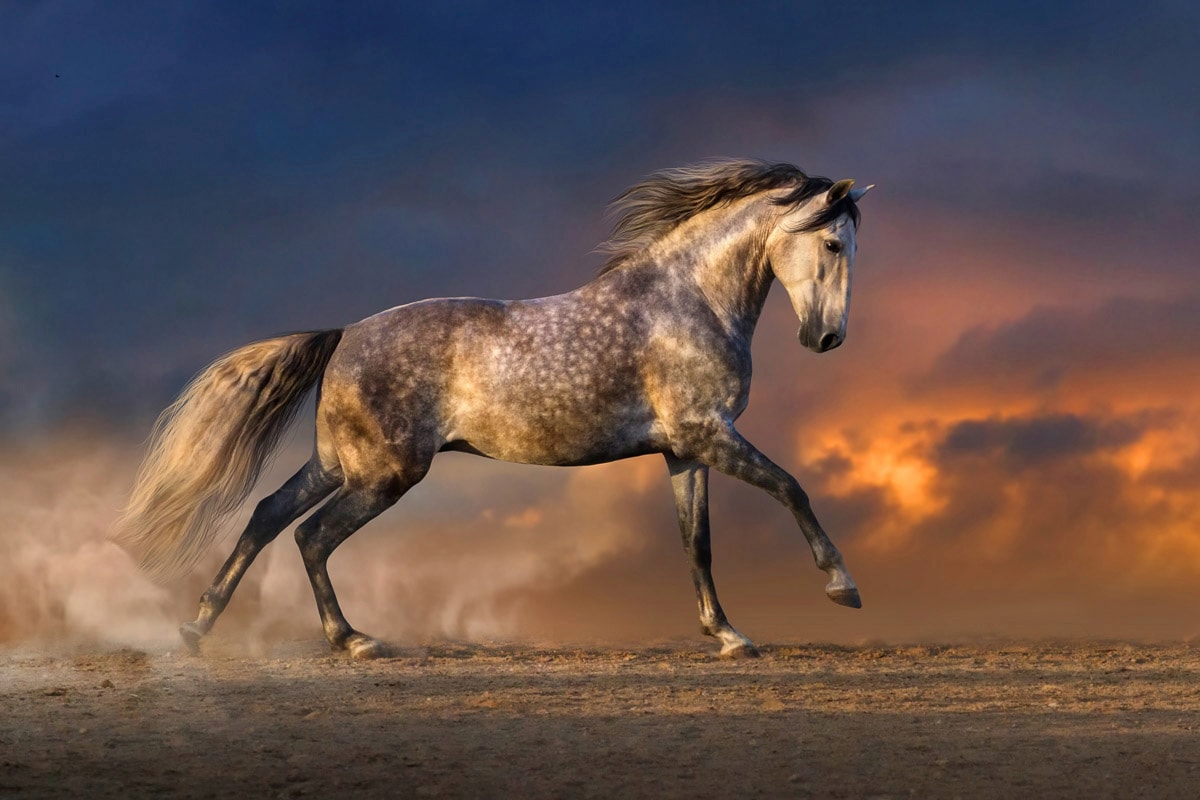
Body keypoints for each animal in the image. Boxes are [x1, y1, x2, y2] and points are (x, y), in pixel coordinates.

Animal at [113, 159, 873, 659]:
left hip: (340, 465)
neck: (688, 303)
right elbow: (792, 487)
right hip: (383, 475)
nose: (827, 338)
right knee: (312, 536)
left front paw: (728, 635)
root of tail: (344, 335)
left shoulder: (685, 449)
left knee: (269, 516)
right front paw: (842, 587)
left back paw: (200, 627)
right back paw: (353, 641)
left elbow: (697, 542)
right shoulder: (710, 434)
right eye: (833, 242)